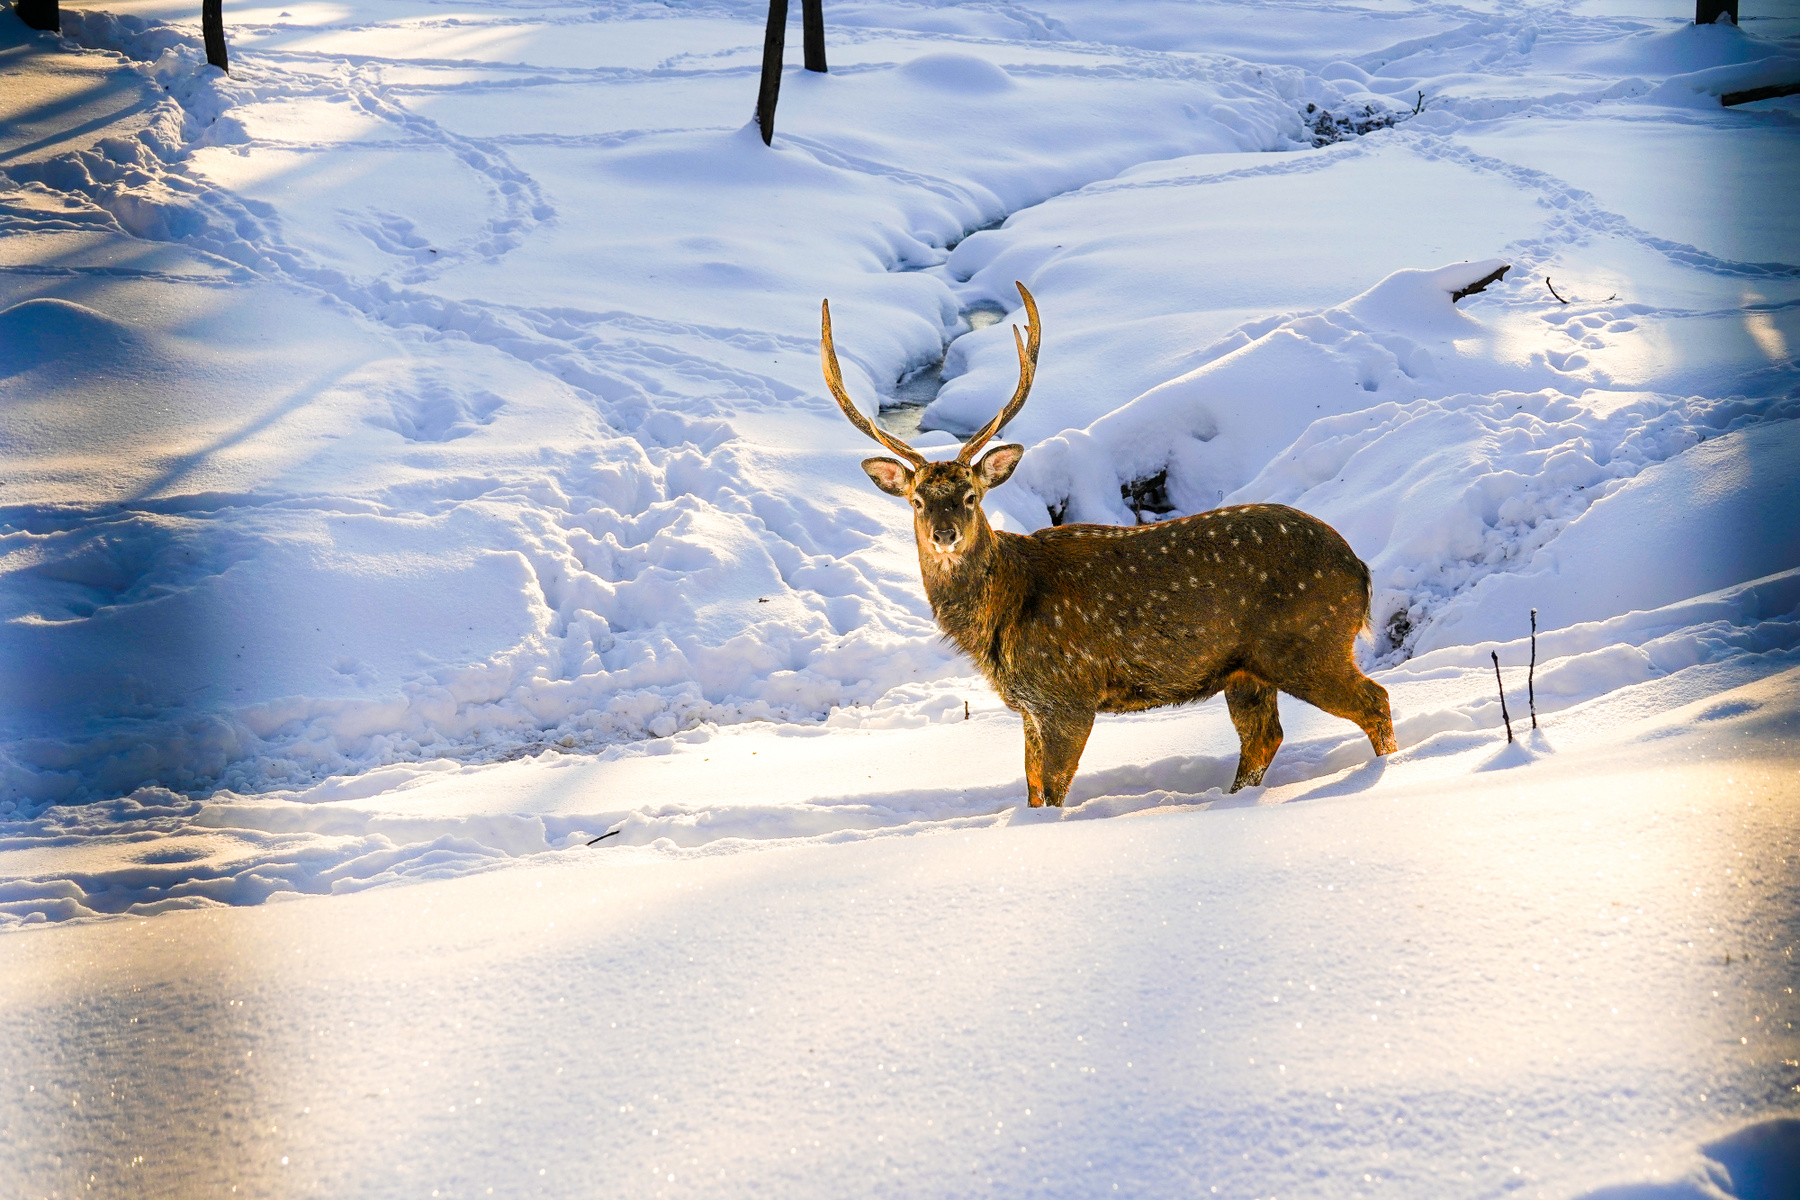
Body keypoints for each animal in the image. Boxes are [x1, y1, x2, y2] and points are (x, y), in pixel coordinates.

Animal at [821, 281, 1398, 806]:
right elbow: (1033, 792)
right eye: (917, 500)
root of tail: (1361, 570)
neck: (1004, 610)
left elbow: (1054, 793)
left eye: (970, 495)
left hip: (1309, 641)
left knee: (1375, 701)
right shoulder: (1031, 706)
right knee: (1264, 737)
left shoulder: (1067, 695)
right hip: (1248, 669)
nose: (946, 535)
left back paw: (1383, 776)